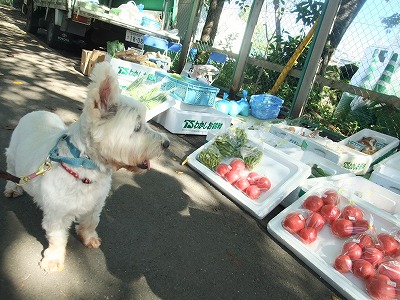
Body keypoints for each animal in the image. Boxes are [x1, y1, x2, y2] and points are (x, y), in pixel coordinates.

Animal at [3, 62, 169, 274]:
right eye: (137, 127)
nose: (167, 144)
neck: (87, 167)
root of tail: (37, 111)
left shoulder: (96, 204)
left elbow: (91, 222)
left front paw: (89, 238)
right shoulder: (57, 215)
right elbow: (57, 238)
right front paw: (53, 259)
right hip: (13, 154)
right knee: (11, 171)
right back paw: (12, 188)